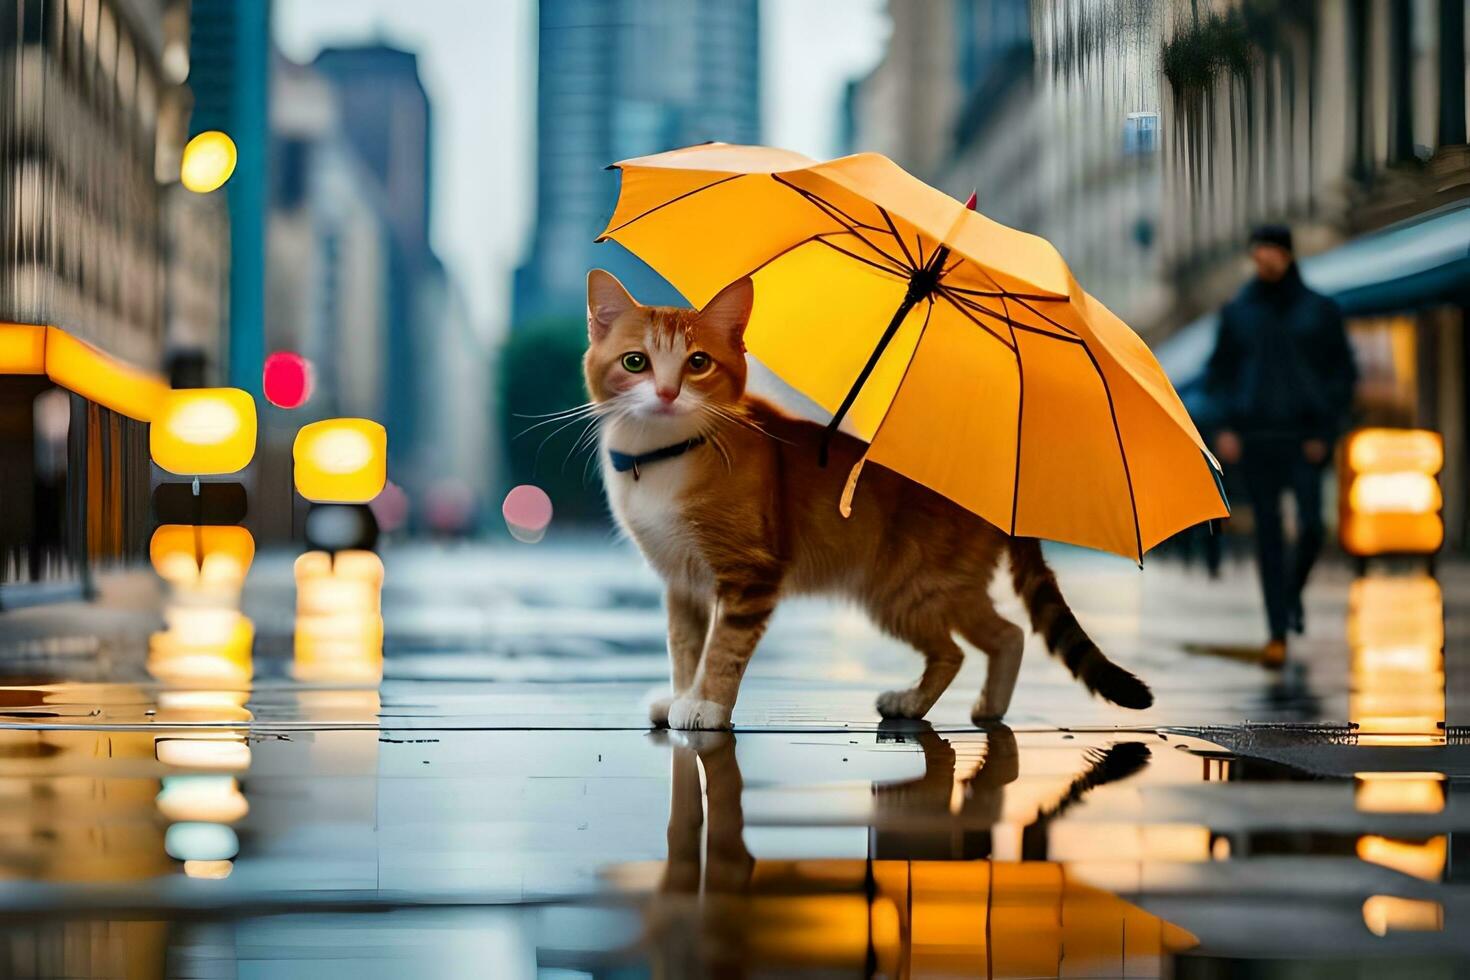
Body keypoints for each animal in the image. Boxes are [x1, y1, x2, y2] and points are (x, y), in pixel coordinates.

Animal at [582, 271, 1146, 731]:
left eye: (698, 362)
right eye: (635, 362)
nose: (667, 394)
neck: (665, 457)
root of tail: (992, 488)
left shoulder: (750, 575)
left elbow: (722, 649)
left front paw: (707, 706)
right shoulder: (683, 582)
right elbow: (685, 647)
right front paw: (681, 695)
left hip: (901, 589)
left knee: (955, 651)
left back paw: (914, 703)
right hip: (942, 586)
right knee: (1006, 634)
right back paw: (986, 707)